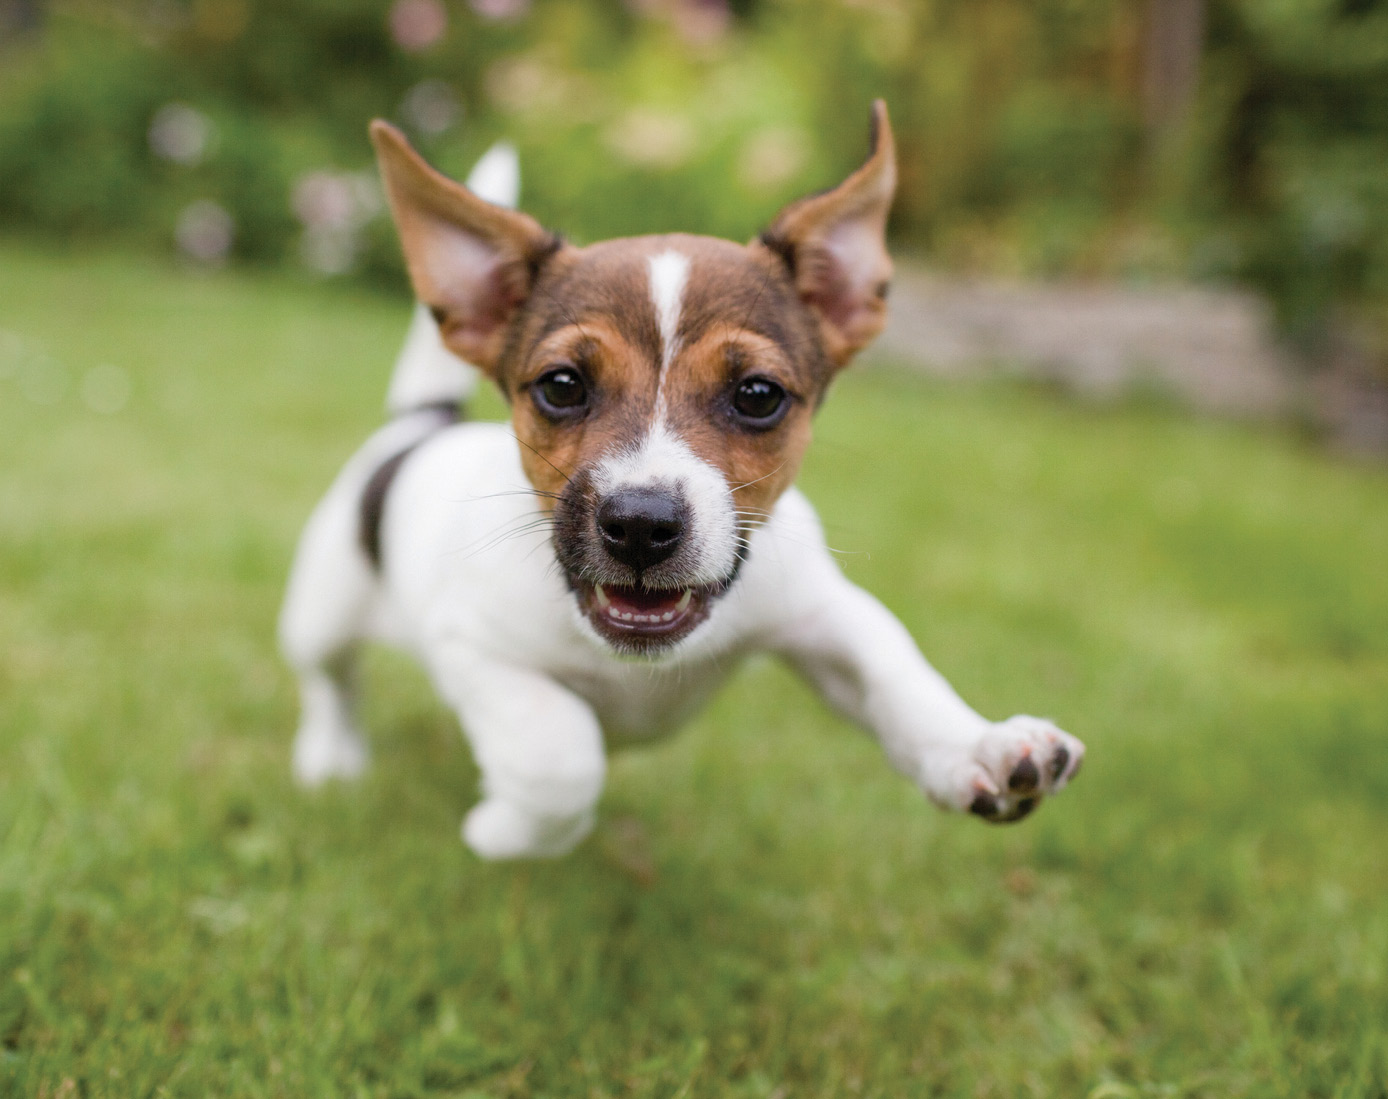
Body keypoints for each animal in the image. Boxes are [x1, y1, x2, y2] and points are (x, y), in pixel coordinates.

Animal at [278, 102, 1082, 860]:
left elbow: (898, 676)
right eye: (562, 385)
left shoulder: (824, 613)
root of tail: (422, 423)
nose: (639, 525)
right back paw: (331, 757)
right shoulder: (473, 647)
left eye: (757, 395)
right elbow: (561, 755)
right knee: (329, 680)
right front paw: (502, 832)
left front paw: (978, 746)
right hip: (321, 605)